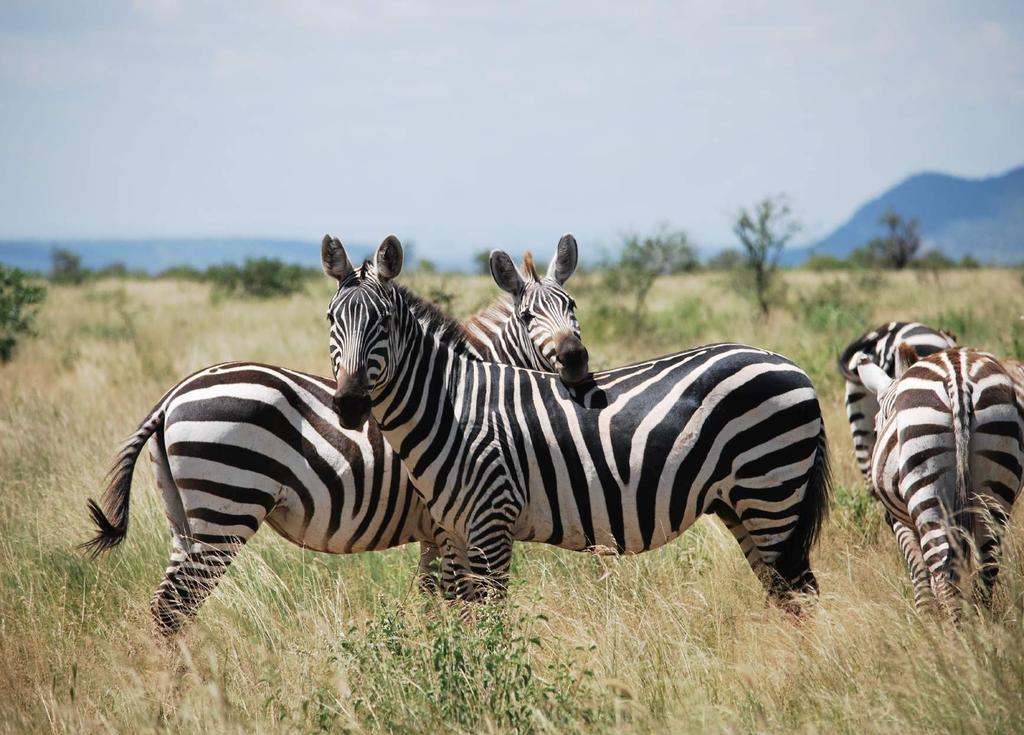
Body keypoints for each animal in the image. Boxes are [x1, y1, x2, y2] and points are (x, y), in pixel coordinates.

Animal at [83, 234, 589, 634]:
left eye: (572, 307)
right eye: (527, 318)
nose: (576, 360)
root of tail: (173, 395)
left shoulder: (435, 530)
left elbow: (431, 597)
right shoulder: (447, 526)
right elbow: (452, 598)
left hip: (184, 517)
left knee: (166, 606)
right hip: (225, 506)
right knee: (176, 607)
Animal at [323, 236, 835, 610]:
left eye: (383, 321)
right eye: (331, 319)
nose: (348, 404)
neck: (451, 406)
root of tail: (791, 364)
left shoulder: (490, 521)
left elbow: (488, 622)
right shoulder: (452, 531)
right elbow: (459, 617)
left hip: (769, 489)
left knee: (801, 591)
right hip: (740, 503)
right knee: (785, 593)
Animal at [856, 348, 1024, 614]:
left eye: (875, 429)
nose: (884, 520)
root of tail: (958, 378)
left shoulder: (901, 522)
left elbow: (919, 573)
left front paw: (925, 617)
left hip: (928, 492)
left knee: (945, 580)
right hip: (995, 488)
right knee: (986, 569)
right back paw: (981, 623)